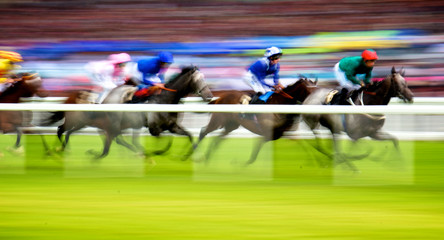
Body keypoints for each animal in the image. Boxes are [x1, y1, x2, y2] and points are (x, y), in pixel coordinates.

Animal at [48, 65, 213, 159]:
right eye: (199, 80)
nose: (209, 96)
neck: (165, 99)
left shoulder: (172, 126)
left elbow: (188, 136)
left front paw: (188, 155)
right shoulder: (154, 129)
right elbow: (166, 141)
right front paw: (155, 153)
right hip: (86, 121)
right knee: (62, 130)